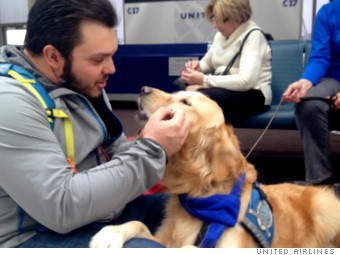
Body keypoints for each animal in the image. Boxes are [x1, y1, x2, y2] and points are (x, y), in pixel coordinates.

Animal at [89, 86, 340, 248]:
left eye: (185, 102)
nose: (143, 89)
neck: (202, 192)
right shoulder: (165, 240)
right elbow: (139, 224)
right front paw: (111, 233)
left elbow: (189, 248)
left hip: (324, 206)